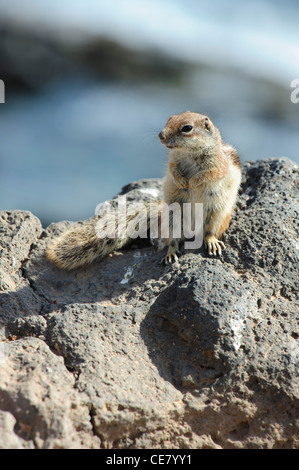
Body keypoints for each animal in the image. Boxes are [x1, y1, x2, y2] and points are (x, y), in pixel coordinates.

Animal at [47, 111, 244, 272]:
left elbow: (210, 174)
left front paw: (193, 182)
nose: (161, 135)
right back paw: (171, 253)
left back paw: (212, 243)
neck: (187, 152)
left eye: (187, 128)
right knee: (172, 241)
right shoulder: (173, 161)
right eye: (169, 119)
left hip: (217, 215)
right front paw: (182, 181)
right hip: (172, 219)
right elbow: (173, 170)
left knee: (209, 232)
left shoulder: (218, 164)